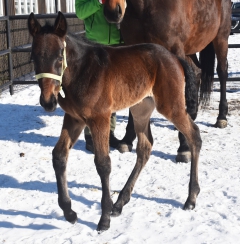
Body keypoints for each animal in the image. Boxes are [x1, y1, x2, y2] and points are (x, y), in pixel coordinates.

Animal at [27, 11, 202, 233]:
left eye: (59, 56)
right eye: (33, 58)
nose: (48, 101)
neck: (82, 71)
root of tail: (175, 57)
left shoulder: (99, 118)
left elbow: (103, 164)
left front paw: (104, 219)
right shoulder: (74, 118)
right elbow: (59, 155)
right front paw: (69, 212)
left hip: (171, 106)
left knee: (194, 135)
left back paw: (191, 198)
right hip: (140, 109)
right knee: (145, 148)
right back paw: (120, 203)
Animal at [104, 0, 232, 163]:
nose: (113, 11)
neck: (146, 7)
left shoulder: (175, 49)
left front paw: (184, 147)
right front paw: (127, 140)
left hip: (221, 38)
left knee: (222, 73)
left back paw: (221, 117)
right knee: (196, 72)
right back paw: (191, 115)